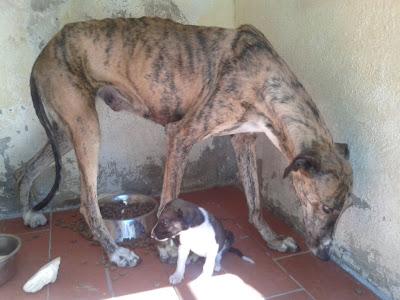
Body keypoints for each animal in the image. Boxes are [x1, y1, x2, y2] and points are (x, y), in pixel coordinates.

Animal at [16, 17, 354, 268]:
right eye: (326, 207)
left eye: (342, 211)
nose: (325, 255)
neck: (267, 79)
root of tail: (42, 53)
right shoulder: (181, 135)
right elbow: (168, 198)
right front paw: (166, 250)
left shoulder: (243, 141)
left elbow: (255, 201)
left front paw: (272, 239)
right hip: (87, 129)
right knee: (87, 202)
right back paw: (115, 252)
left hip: (66, 131)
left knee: (25, 171)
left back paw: (28, 213)